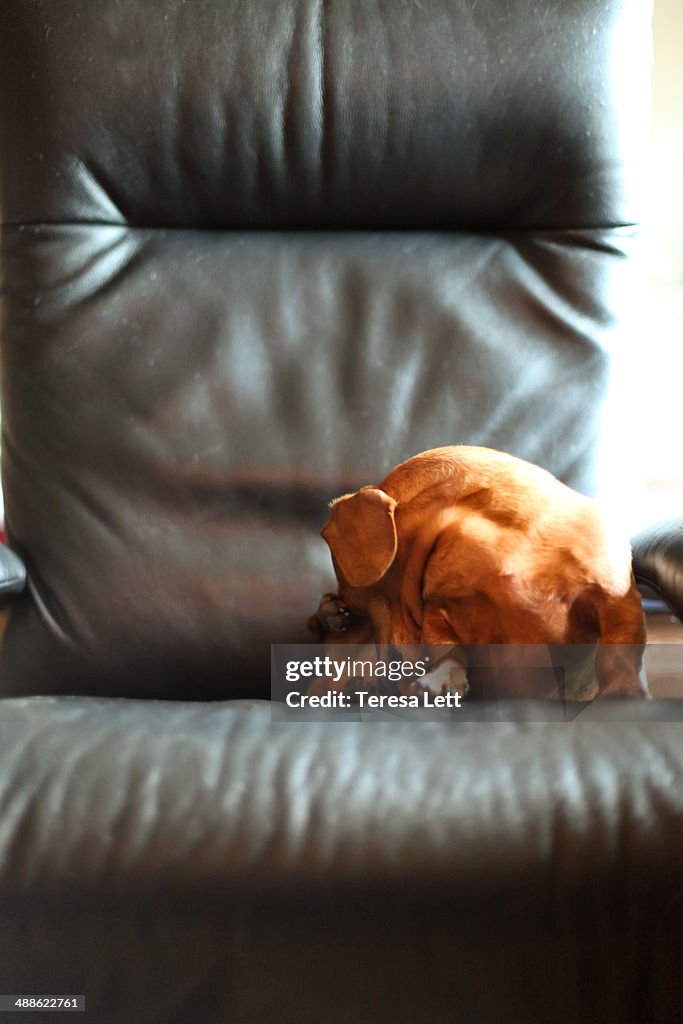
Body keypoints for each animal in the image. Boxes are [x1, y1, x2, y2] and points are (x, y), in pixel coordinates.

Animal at [313, 444, 651, 700]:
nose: (392, 674)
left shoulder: (616, 600)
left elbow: (618, 654)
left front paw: (623, 691)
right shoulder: (439, 612)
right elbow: (449, 648)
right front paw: (444, 675)